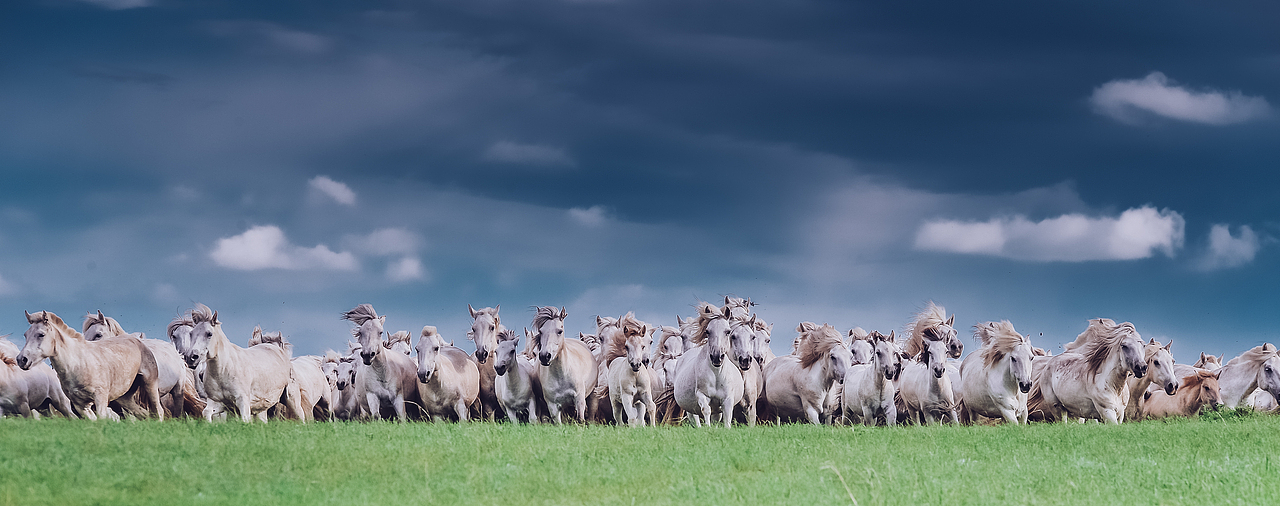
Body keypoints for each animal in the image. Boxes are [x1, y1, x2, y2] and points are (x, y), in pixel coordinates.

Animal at [17, 310, 162, 421]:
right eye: (25, 335)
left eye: (41, 334)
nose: (21, 359)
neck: (78, 364)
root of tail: (137, 341)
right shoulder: (81, 405)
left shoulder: (100, 398)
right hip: (124, 397)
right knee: (143, 413)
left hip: (149, 384)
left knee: (158, 411)